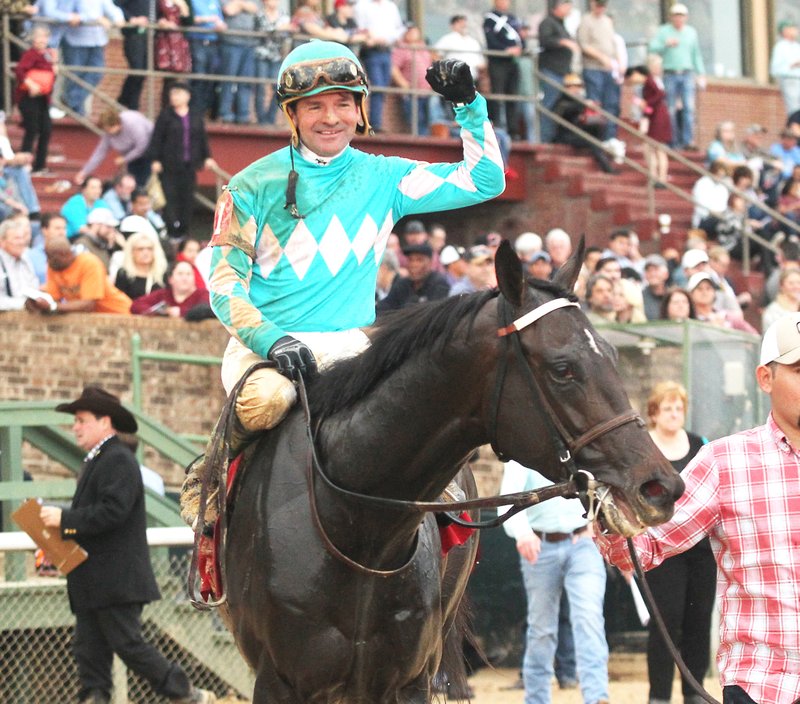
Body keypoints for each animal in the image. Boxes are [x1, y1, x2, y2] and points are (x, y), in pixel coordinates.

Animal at [222, 239, 684, 700]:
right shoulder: (281, 681)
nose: (659, 486)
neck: (358, 527)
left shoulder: (405, 679)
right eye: (563, 368)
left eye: (611, 354)